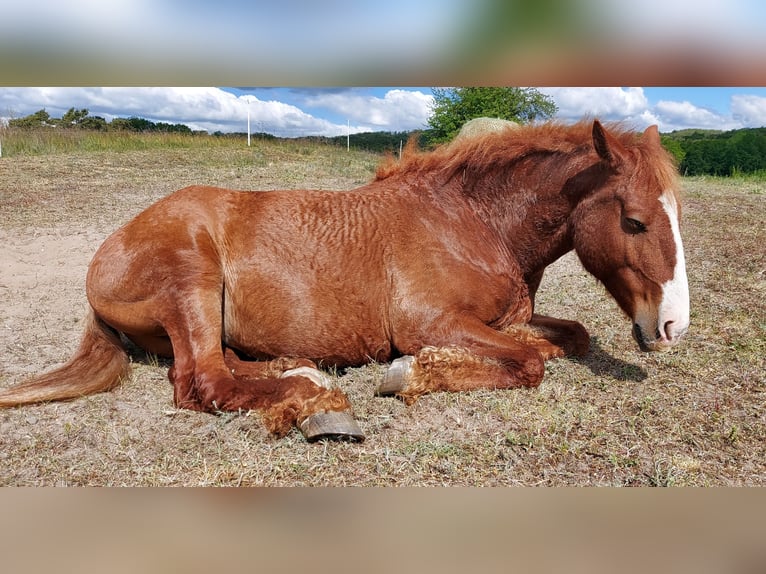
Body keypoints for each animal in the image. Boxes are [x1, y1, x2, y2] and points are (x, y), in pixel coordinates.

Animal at [0, 119, 690, 442]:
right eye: (634, 221)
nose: (671, 326)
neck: (471, 221)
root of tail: (105, 255)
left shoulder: (505, 317)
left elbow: (567, 337)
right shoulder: (430, 322)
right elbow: (528, 363)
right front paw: (410, 374)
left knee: (220, 365)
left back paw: (298, 371)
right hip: (191, 279)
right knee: (204, 382)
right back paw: (317, 400)